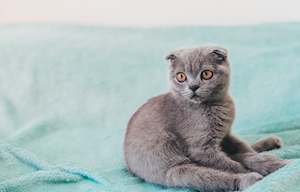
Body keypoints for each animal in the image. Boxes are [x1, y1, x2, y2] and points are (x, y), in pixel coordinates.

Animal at [122, 45, 296, 192]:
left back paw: (278, 152)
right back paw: (252, 178)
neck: (217, 105)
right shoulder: (201, 150)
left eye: (206, 74)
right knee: (216, 176)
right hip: (175, 170)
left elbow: (244, 147)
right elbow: (232, 166)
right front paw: (247, 171)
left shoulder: (226, 134)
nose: (193, 87)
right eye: (181, 76)